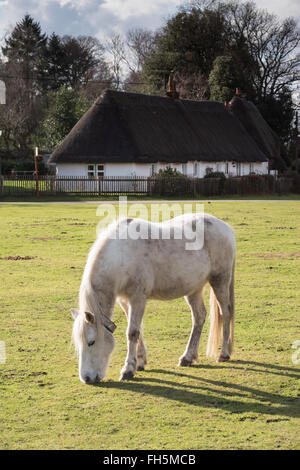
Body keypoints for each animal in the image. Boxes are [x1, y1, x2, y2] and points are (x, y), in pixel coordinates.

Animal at [71, 213, 236, 382]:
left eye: (91, 342)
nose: (87, 378)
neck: (123, 254)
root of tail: (225, 228)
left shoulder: (138, 298)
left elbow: (132, 332)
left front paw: (128, 370)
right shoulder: (125, 301)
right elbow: (138, 330)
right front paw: (140, 362)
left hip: (220, 281)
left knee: (225, 313)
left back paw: (224, 354)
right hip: (194, 289)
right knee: (199, 317)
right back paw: (188, 358)